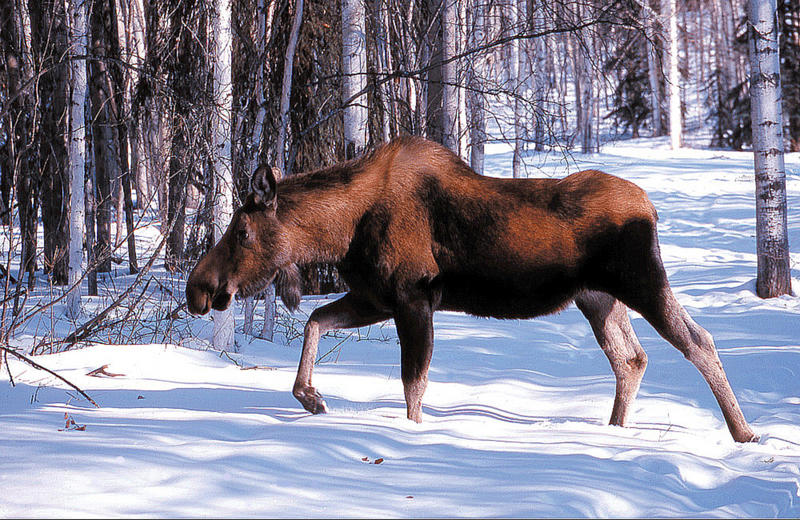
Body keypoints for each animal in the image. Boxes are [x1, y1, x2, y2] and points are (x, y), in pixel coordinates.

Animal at [186, 135, 756, 442]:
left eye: (241, 231)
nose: (198, 288)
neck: (342, 233)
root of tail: (651, 207)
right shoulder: (376, 297)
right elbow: (315, 320)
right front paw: (310, 397)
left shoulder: (413, 297)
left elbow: (413, 385)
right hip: (596, 298)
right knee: (631, 357)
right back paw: (614, 429)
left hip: (642, 280)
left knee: (698, 341)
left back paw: (743, 432)